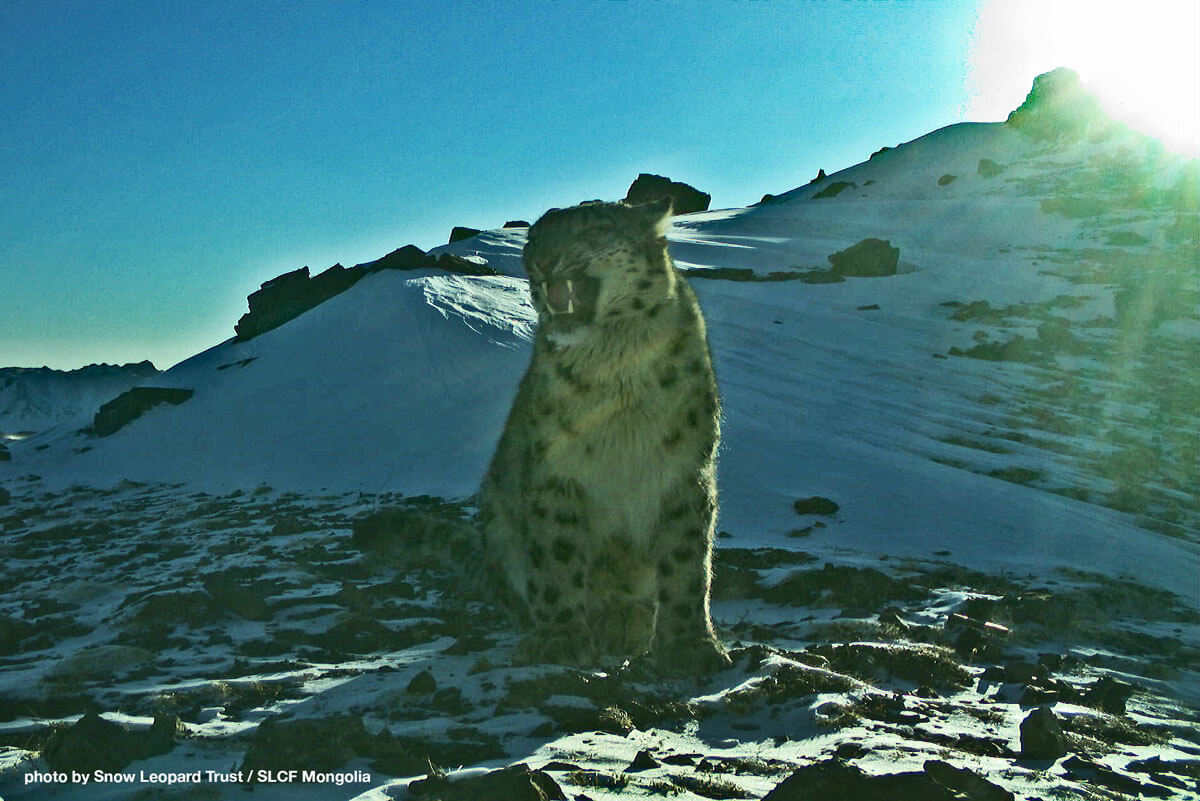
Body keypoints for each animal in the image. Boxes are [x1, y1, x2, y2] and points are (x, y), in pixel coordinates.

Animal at [480, 196, 729, 671]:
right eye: (533, 238)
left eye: (591, 228)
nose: (541, 261)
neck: (616, 370)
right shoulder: (557, 470)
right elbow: (557, 555)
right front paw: (560, 638)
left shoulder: (686, 472)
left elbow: (687, 561)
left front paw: (691, 644)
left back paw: (629, 624)